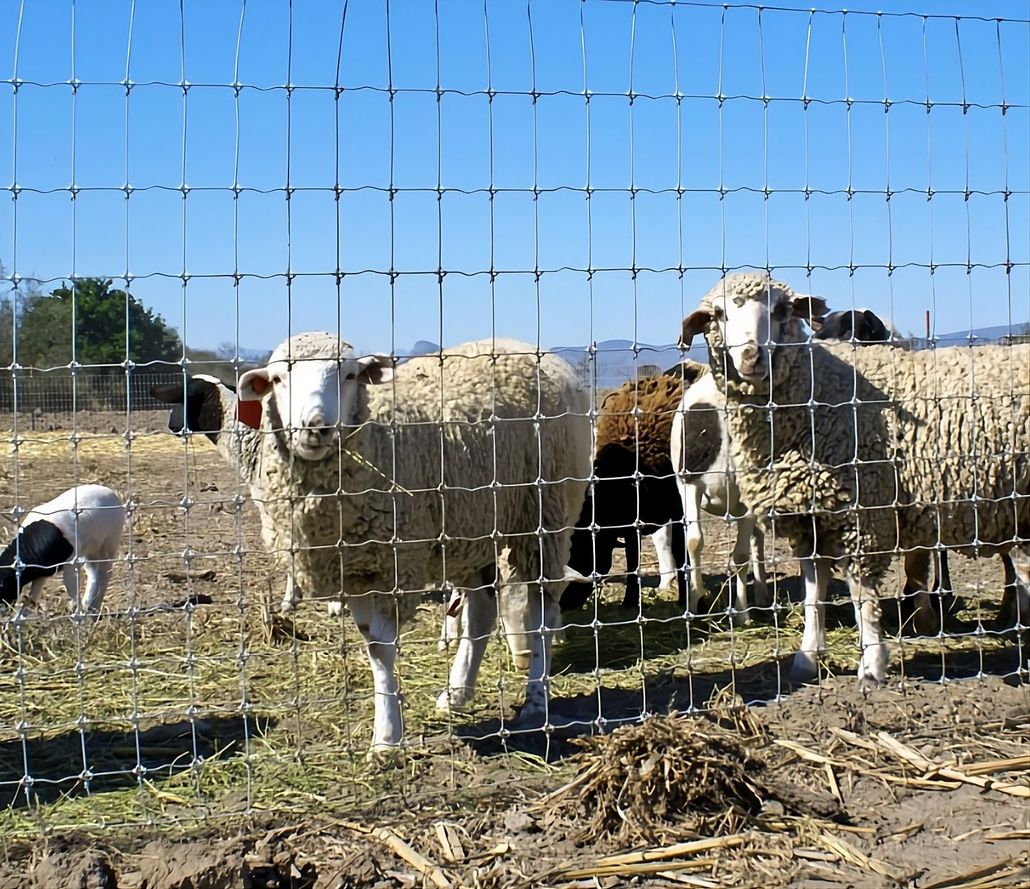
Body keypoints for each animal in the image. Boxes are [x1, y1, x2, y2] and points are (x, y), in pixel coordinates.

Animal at [0, 484, 125, 615]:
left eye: (2, 585)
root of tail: (110, 492)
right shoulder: (42, 573)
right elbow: (33, 595)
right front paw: (21, 614)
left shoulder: (72, 562)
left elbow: (70, 586)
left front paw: (78, 612)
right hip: (92, 550)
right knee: (93, 572)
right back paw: (90, 605)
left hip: (109, 543)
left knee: (105, 572)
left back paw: (92, 607)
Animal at [210, 333, 592, 751]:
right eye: (278, 379)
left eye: (350, 374)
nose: (316, 427)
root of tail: (525, 346)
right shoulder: (354, 571)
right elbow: (374, 648)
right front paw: (387, 734)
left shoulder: (395, 563)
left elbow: (384, 647)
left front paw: (387, 738)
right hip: (473, 529)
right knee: (481, 614)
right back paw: (456, 693)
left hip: (545, 514)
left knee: (542, 612)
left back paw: (536, 699)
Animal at [678, 271, 1030, 687]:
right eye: (717, 314)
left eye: (780, 309)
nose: (751, 356)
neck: (818, 393)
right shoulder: (811, 519)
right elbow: (814, 591)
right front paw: (807, 657)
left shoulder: (863, 515)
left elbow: (862, 593)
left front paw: (872, 665)